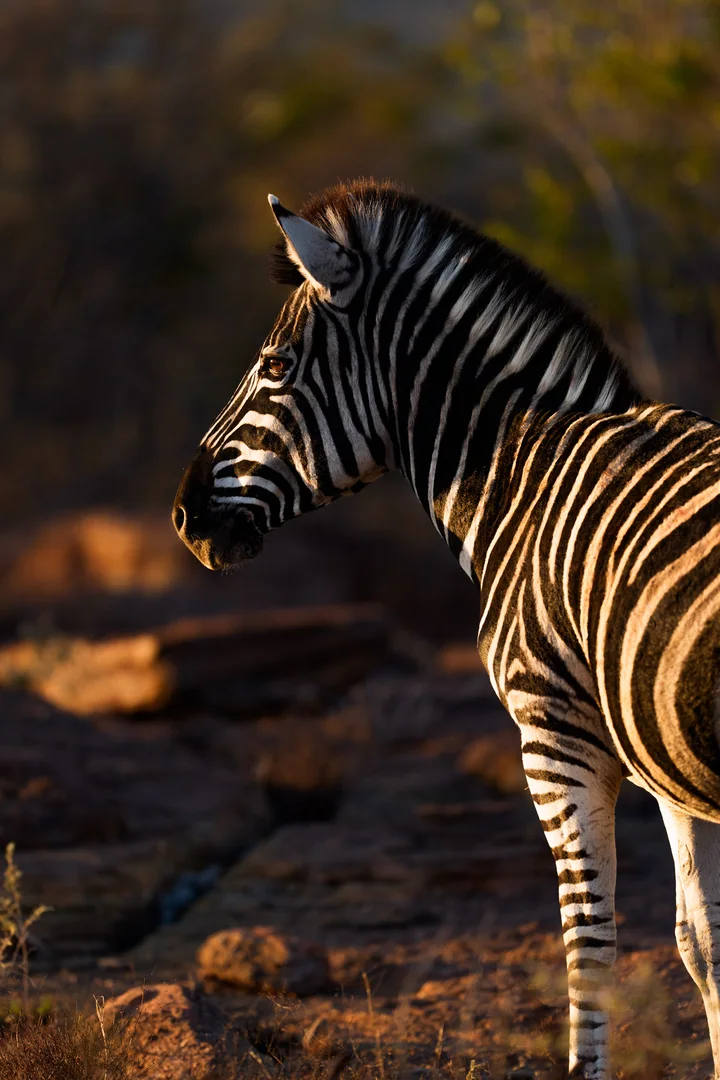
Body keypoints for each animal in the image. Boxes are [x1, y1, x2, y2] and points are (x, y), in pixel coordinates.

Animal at [173, 179, 720, 1079]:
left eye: (275, 368)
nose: (184, 518)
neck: (524, 477)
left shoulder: (553, 736)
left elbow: (589, 942)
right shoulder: (660, 756)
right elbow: (702, 943)